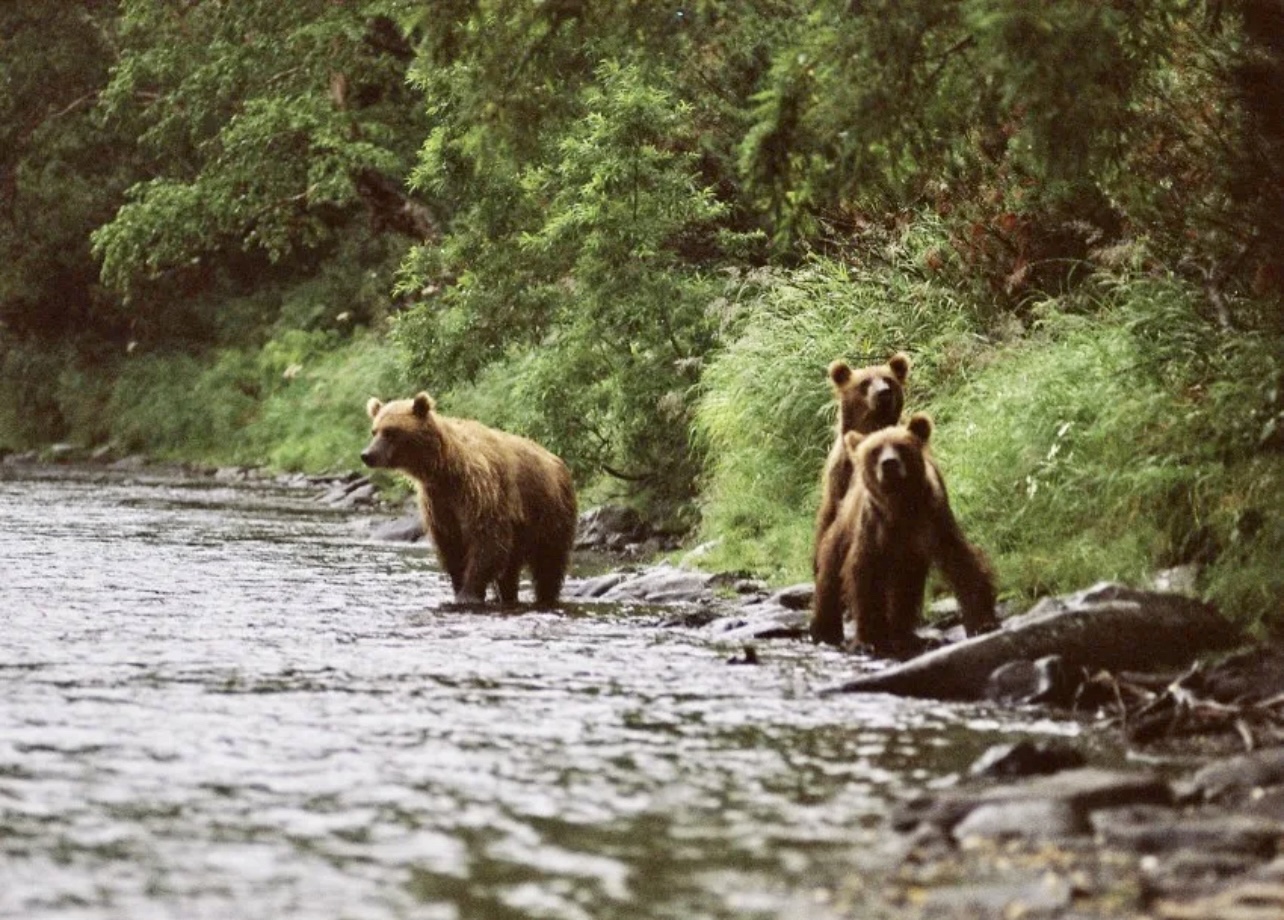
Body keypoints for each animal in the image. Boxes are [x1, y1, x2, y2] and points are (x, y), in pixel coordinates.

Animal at [364, 390, 580, 605]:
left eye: (390, 432)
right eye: (374, 431)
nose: (367, 454)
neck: (445, 469)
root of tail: (560, 462)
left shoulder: (480, 490)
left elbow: (487, 540)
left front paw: (468, 593)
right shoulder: (439, 501)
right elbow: (451, 546)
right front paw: (459, 586)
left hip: (549, 513)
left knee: (549, 562)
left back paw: (546, 596)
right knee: (510, 569)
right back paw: (508, 596)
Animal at [806, 413, 996, 649]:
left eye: (900, 446)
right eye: (875, 450)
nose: (889, 464)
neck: (899, 506)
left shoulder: (932, 519)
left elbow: (962, 563)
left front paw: (983, 623)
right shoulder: (874, 528)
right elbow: (864, 573)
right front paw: (869, 638)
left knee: (904, 588)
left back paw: (903, 634)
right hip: (844, 524)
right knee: (830, 570)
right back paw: (824, 630)